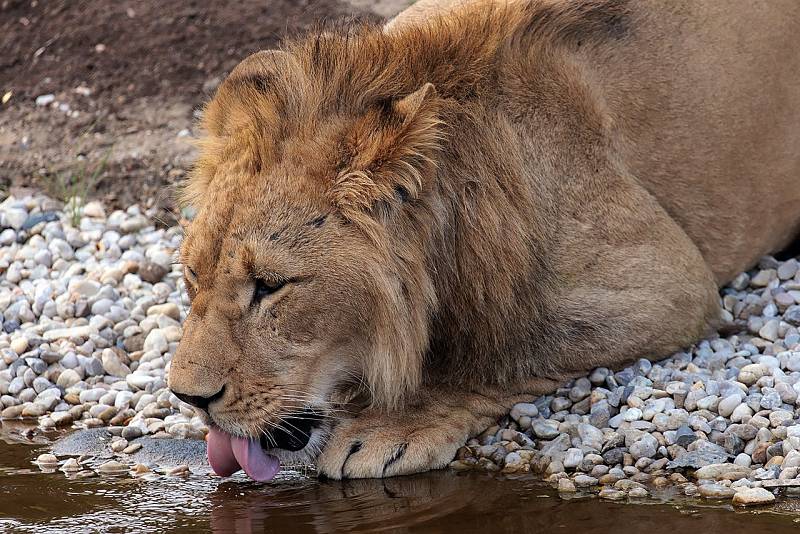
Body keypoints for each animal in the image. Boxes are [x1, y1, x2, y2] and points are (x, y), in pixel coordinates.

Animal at [167, 0, 800, 482]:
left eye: (270, 286)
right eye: (193, 276)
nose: (187, 398)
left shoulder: (667, 284)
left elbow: (500, 355)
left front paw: (393, 426)